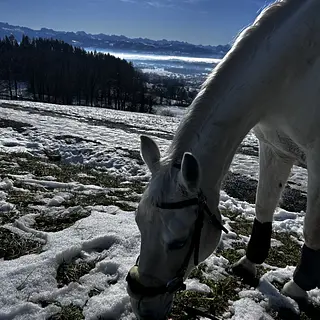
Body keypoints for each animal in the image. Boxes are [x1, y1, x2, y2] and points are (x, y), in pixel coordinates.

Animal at [125, 1, 320, 318]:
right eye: (138, 222)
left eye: (179, 241)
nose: (142, 306)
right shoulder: (274, 147)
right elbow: (263, 206)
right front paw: (248, 265)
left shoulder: (317, 158)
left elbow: (311, 229)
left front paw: (298, 287)